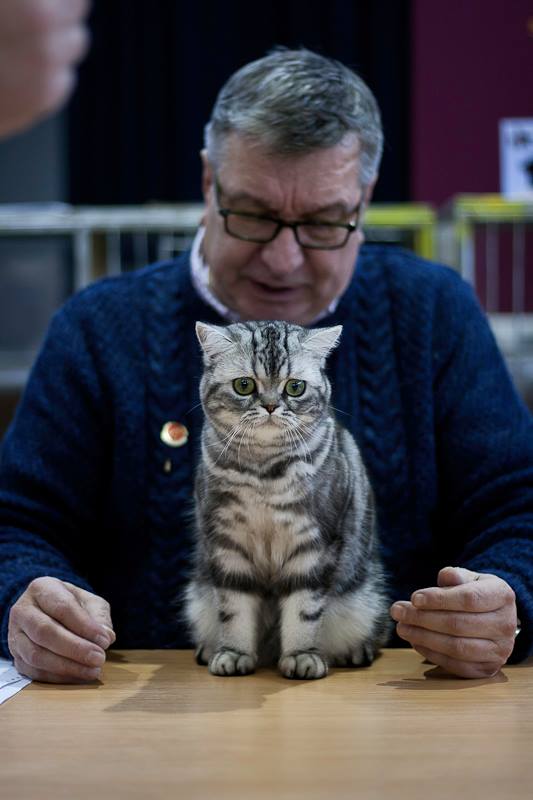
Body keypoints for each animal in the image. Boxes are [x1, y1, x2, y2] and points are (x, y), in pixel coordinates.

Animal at [184, 319, 390, 679]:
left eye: (295, 387)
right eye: (244, 385)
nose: (269, 405)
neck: (263, 471)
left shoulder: (313, 545)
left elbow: (303, 611)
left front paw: (302, 656)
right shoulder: (227, 544)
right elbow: (234, 610)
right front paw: (234, 653)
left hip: (366, 601)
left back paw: (353, 652)